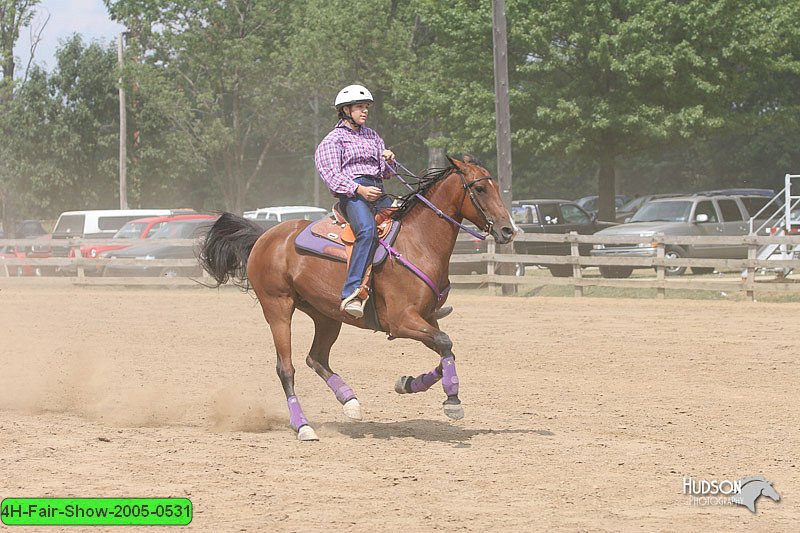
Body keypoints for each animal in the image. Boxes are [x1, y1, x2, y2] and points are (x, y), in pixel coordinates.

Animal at [197, 155, 516, 440]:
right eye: (480, 188)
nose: (508, 230)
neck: (418, 243)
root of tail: (265, 236)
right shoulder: (401, 321)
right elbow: (445, 343)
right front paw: (452, 400)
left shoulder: (426, 318)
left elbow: (445, 350)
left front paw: (408, 383)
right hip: (278, 307)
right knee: (286, 368)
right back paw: (303, 426)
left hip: (326, 315)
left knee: (316, 358)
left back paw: (350, 401)